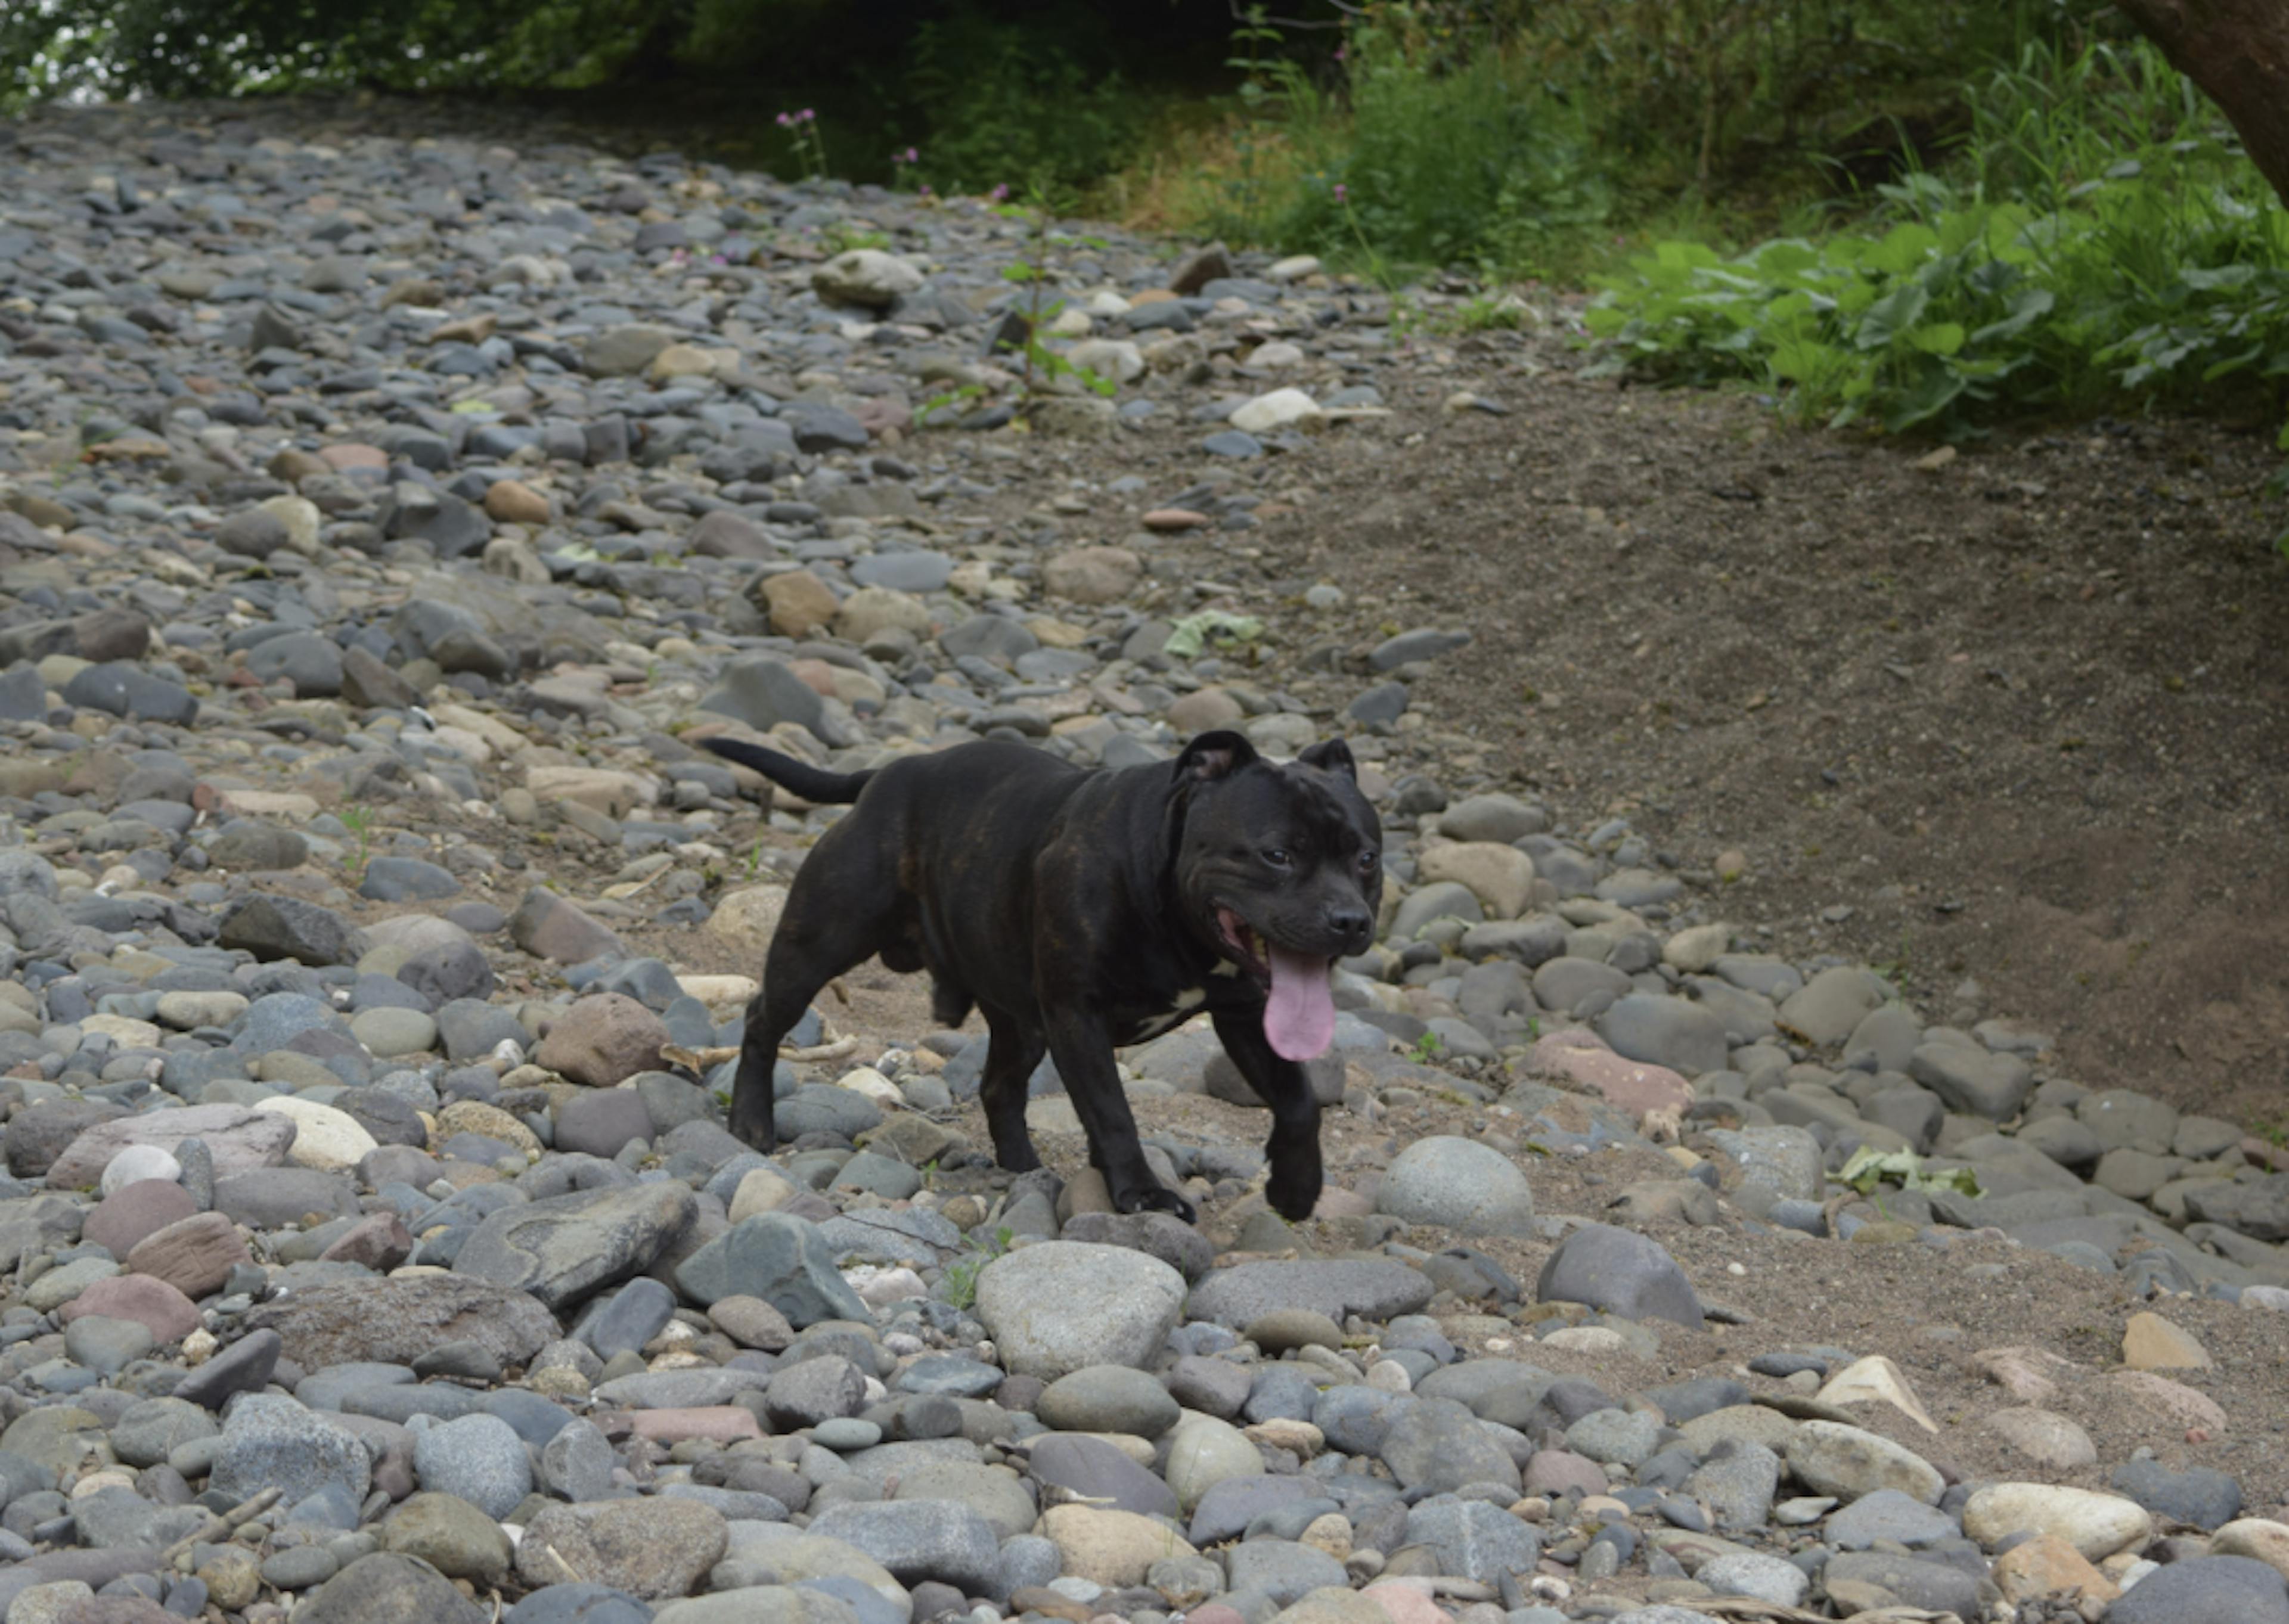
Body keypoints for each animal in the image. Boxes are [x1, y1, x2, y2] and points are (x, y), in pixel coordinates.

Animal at [696, 736, 1373, 1226]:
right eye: (1277, 854)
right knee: (763, 1018)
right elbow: (1112, 1111)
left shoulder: (1245, 1016)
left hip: (1022, 1023)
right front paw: (1141, 1193)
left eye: (1367, 856)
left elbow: (1298, 1101)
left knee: (1000, 1086)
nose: (1351, 920)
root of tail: (888, 774)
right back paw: (751, 1122)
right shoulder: (1078, 1015)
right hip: (817, 944)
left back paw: (1022, 1165)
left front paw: (1295, 1186)